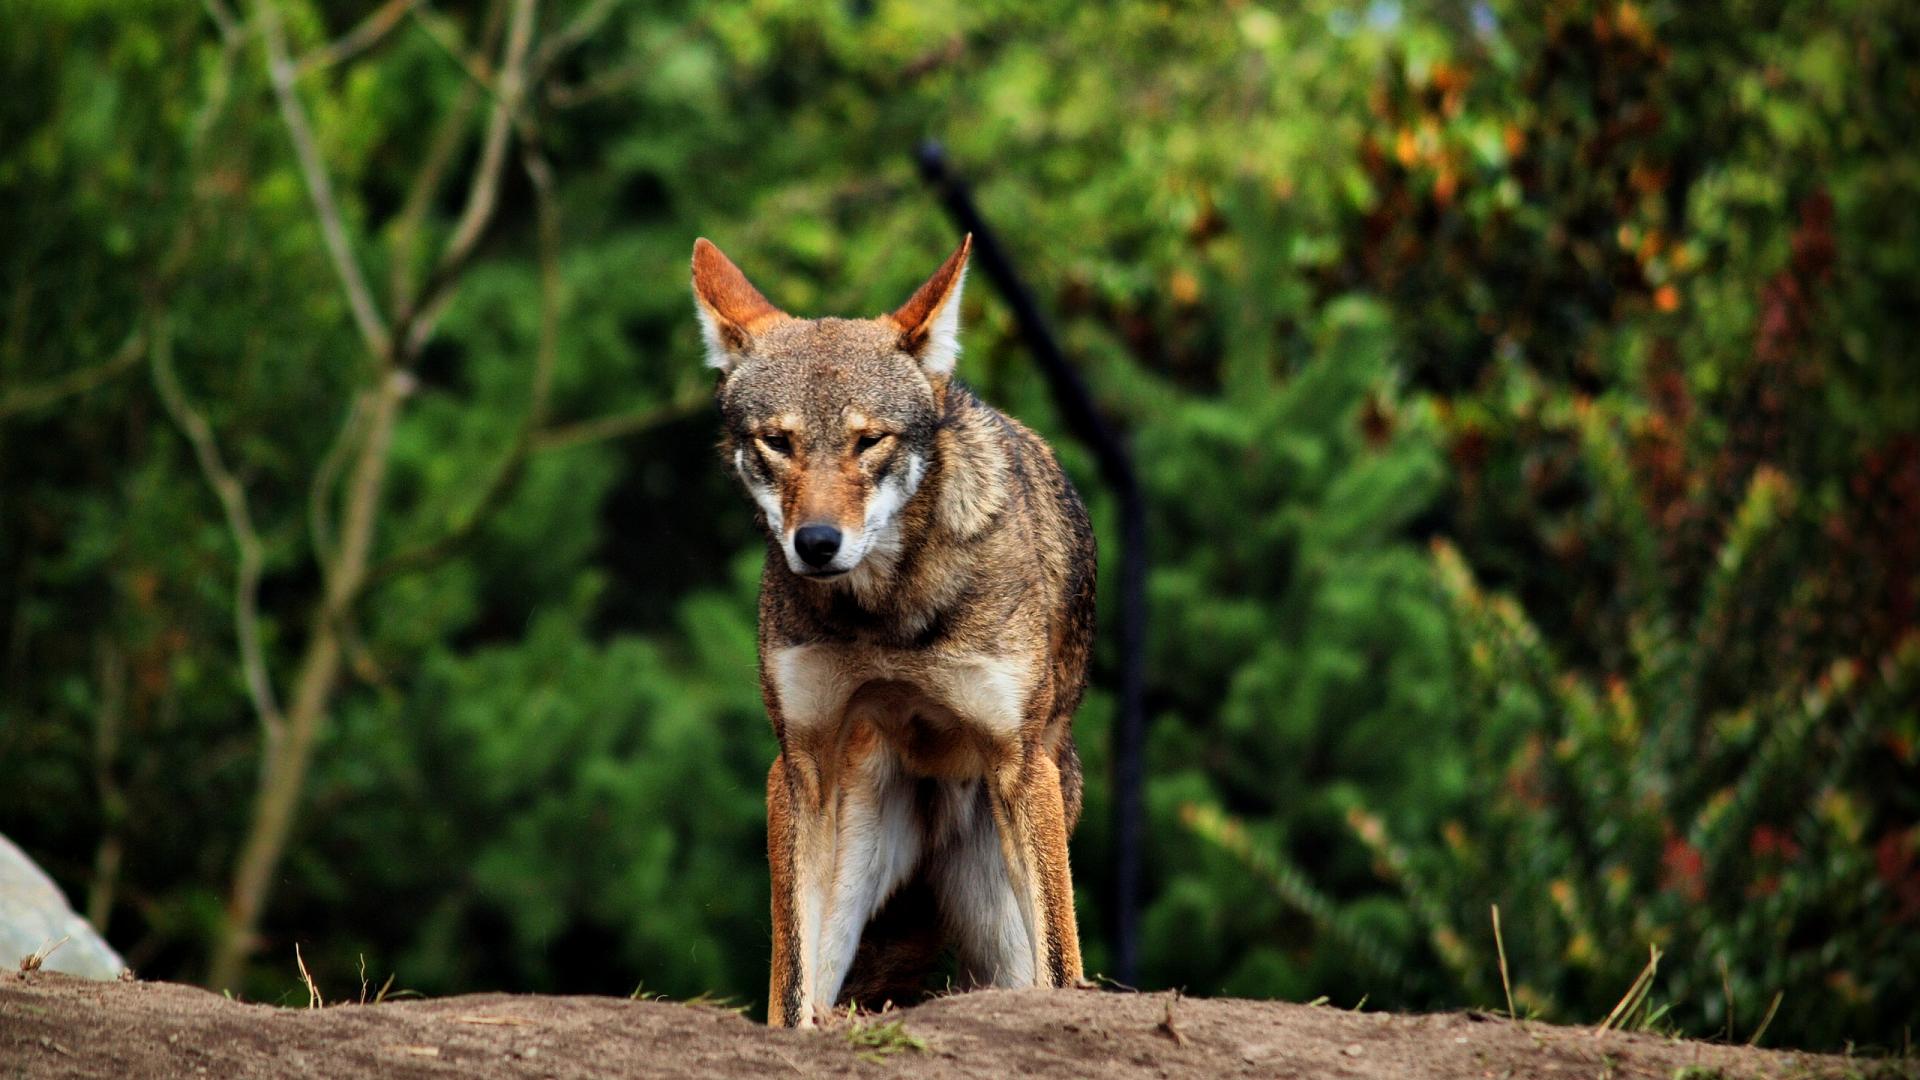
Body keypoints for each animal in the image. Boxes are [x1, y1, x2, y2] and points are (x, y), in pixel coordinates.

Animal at [690, 235, 1095, 1028]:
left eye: (869, 441)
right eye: (777, 442)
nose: (816, 543)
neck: (887, 614)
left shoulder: (1019, 760)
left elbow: (1065, 973)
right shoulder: (799, 763)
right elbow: (791, 995)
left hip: (1007, 906)